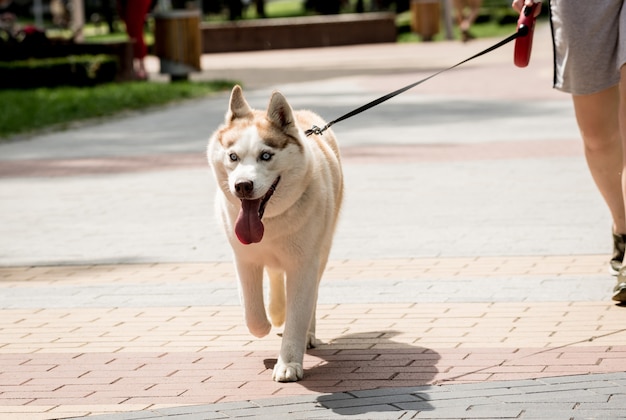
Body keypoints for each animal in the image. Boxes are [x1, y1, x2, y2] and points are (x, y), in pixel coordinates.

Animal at [206, 85, 342, 380]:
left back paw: (307, 333)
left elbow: (298, 313)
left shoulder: (304, 264)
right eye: (233, 157)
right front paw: (267, 322)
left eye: (266, 155)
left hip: (322, 250)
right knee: (275, 277)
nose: (243, 185)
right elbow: (252, 313)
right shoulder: (244, 259)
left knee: (311, 295)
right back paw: (276, 311)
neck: (269, 221)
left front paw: (289, 363)